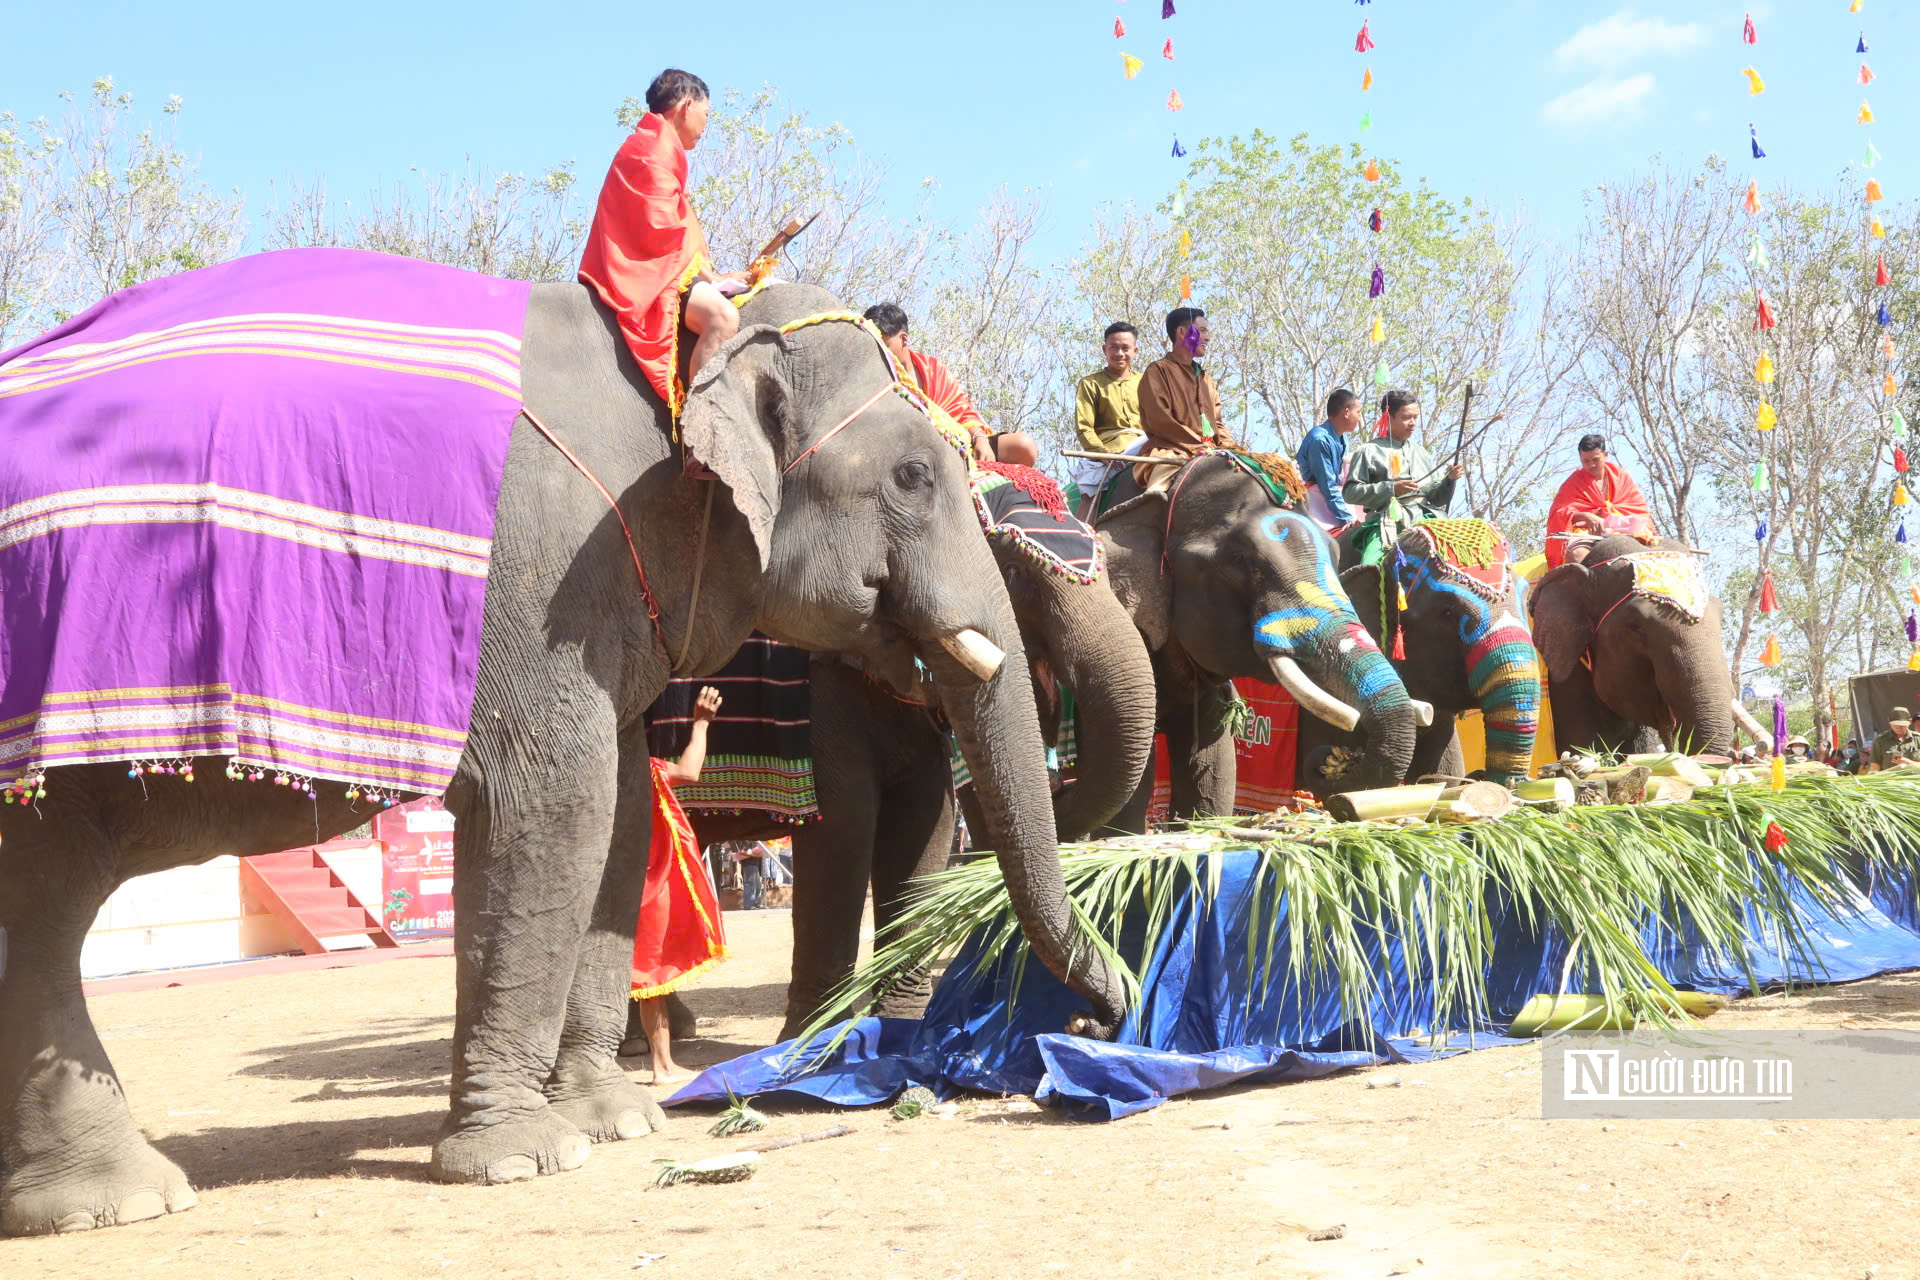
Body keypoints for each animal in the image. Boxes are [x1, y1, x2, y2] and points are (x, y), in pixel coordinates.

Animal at [0, 264, 1121, 1235]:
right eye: (914, 475)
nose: (1103, 1014)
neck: (680, 358)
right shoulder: (548, 578)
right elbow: (559, 803)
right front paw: (526, 1156)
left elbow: (622, 818)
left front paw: (613, 1118)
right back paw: (125, 1201)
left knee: (42, 901)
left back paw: (100, 1198)